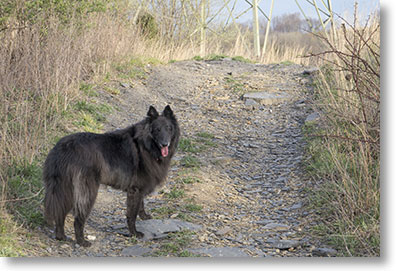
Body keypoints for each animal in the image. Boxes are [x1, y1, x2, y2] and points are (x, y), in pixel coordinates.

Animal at [43, 105, 179, 248]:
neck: (145, 145)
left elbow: (141, 205)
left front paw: (144, 216)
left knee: (60, 212)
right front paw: (134, 233)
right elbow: (132, 214)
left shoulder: (139, 188)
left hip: (65, 190)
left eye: (169, 128)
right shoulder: (135, 190)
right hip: (88, 192)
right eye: (157, 129)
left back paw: (61, 236)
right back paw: (81, 241)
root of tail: (63, 149)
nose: (165, 144)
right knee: (78, 219)